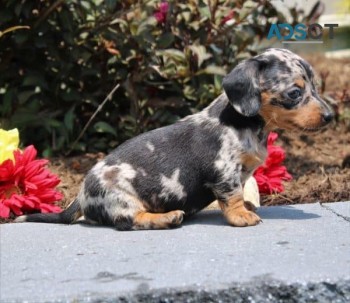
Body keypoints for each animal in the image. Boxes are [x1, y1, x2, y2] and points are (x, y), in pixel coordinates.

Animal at [16, 48, 334, 232]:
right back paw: (166, 218)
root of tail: (80, 196)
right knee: (128, 221)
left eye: (316, 87)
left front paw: (248, 205)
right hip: (121, 198)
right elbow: (231, 196)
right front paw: (241, 215)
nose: (331, 117)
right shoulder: (224, 172)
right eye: (295, 92)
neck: (245, 123)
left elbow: (242, 191)